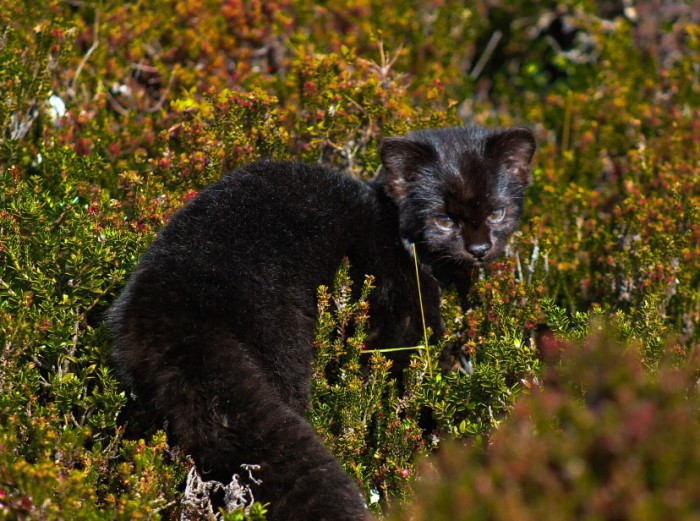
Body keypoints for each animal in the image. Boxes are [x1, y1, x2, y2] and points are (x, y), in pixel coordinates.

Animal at [108, 126, 536, 520]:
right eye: (444, 219)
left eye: (497, 212)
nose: (479, 249)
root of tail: (174, 311)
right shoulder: (399, 329)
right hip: (283, 355)